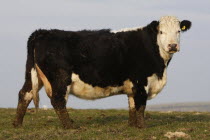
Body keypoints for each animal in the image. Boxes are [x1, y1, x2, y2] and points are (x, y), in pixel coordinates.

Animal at [12, 15, 191, 129]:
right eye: (161, 32)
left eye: (178, 31)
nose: (172, 46)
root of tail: (42, 32)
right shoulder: (141, 81)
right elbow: (140, 105)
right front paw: (142, 127)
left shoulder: (132, 84)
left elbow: (132, 105)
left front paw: (132, 126)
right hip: (60, 78)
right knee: (58, 100)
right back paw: (70, 127)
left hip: (32, 74)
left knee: (25, 94)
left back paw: (17, 124)